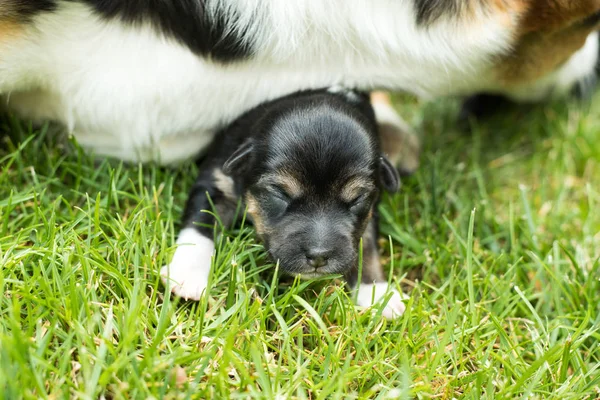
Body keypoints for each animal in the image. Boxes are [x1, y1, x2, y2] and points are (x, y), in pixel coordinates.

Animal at [159, 88, 406, 318]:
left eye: (356, 199)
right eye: (281, 194)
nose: (318, 256)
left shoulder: (370, 210)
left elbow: (368, 247)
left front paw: (377, 293)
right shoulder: (217, 181)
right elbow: (200, 222)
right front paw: (187, 273)